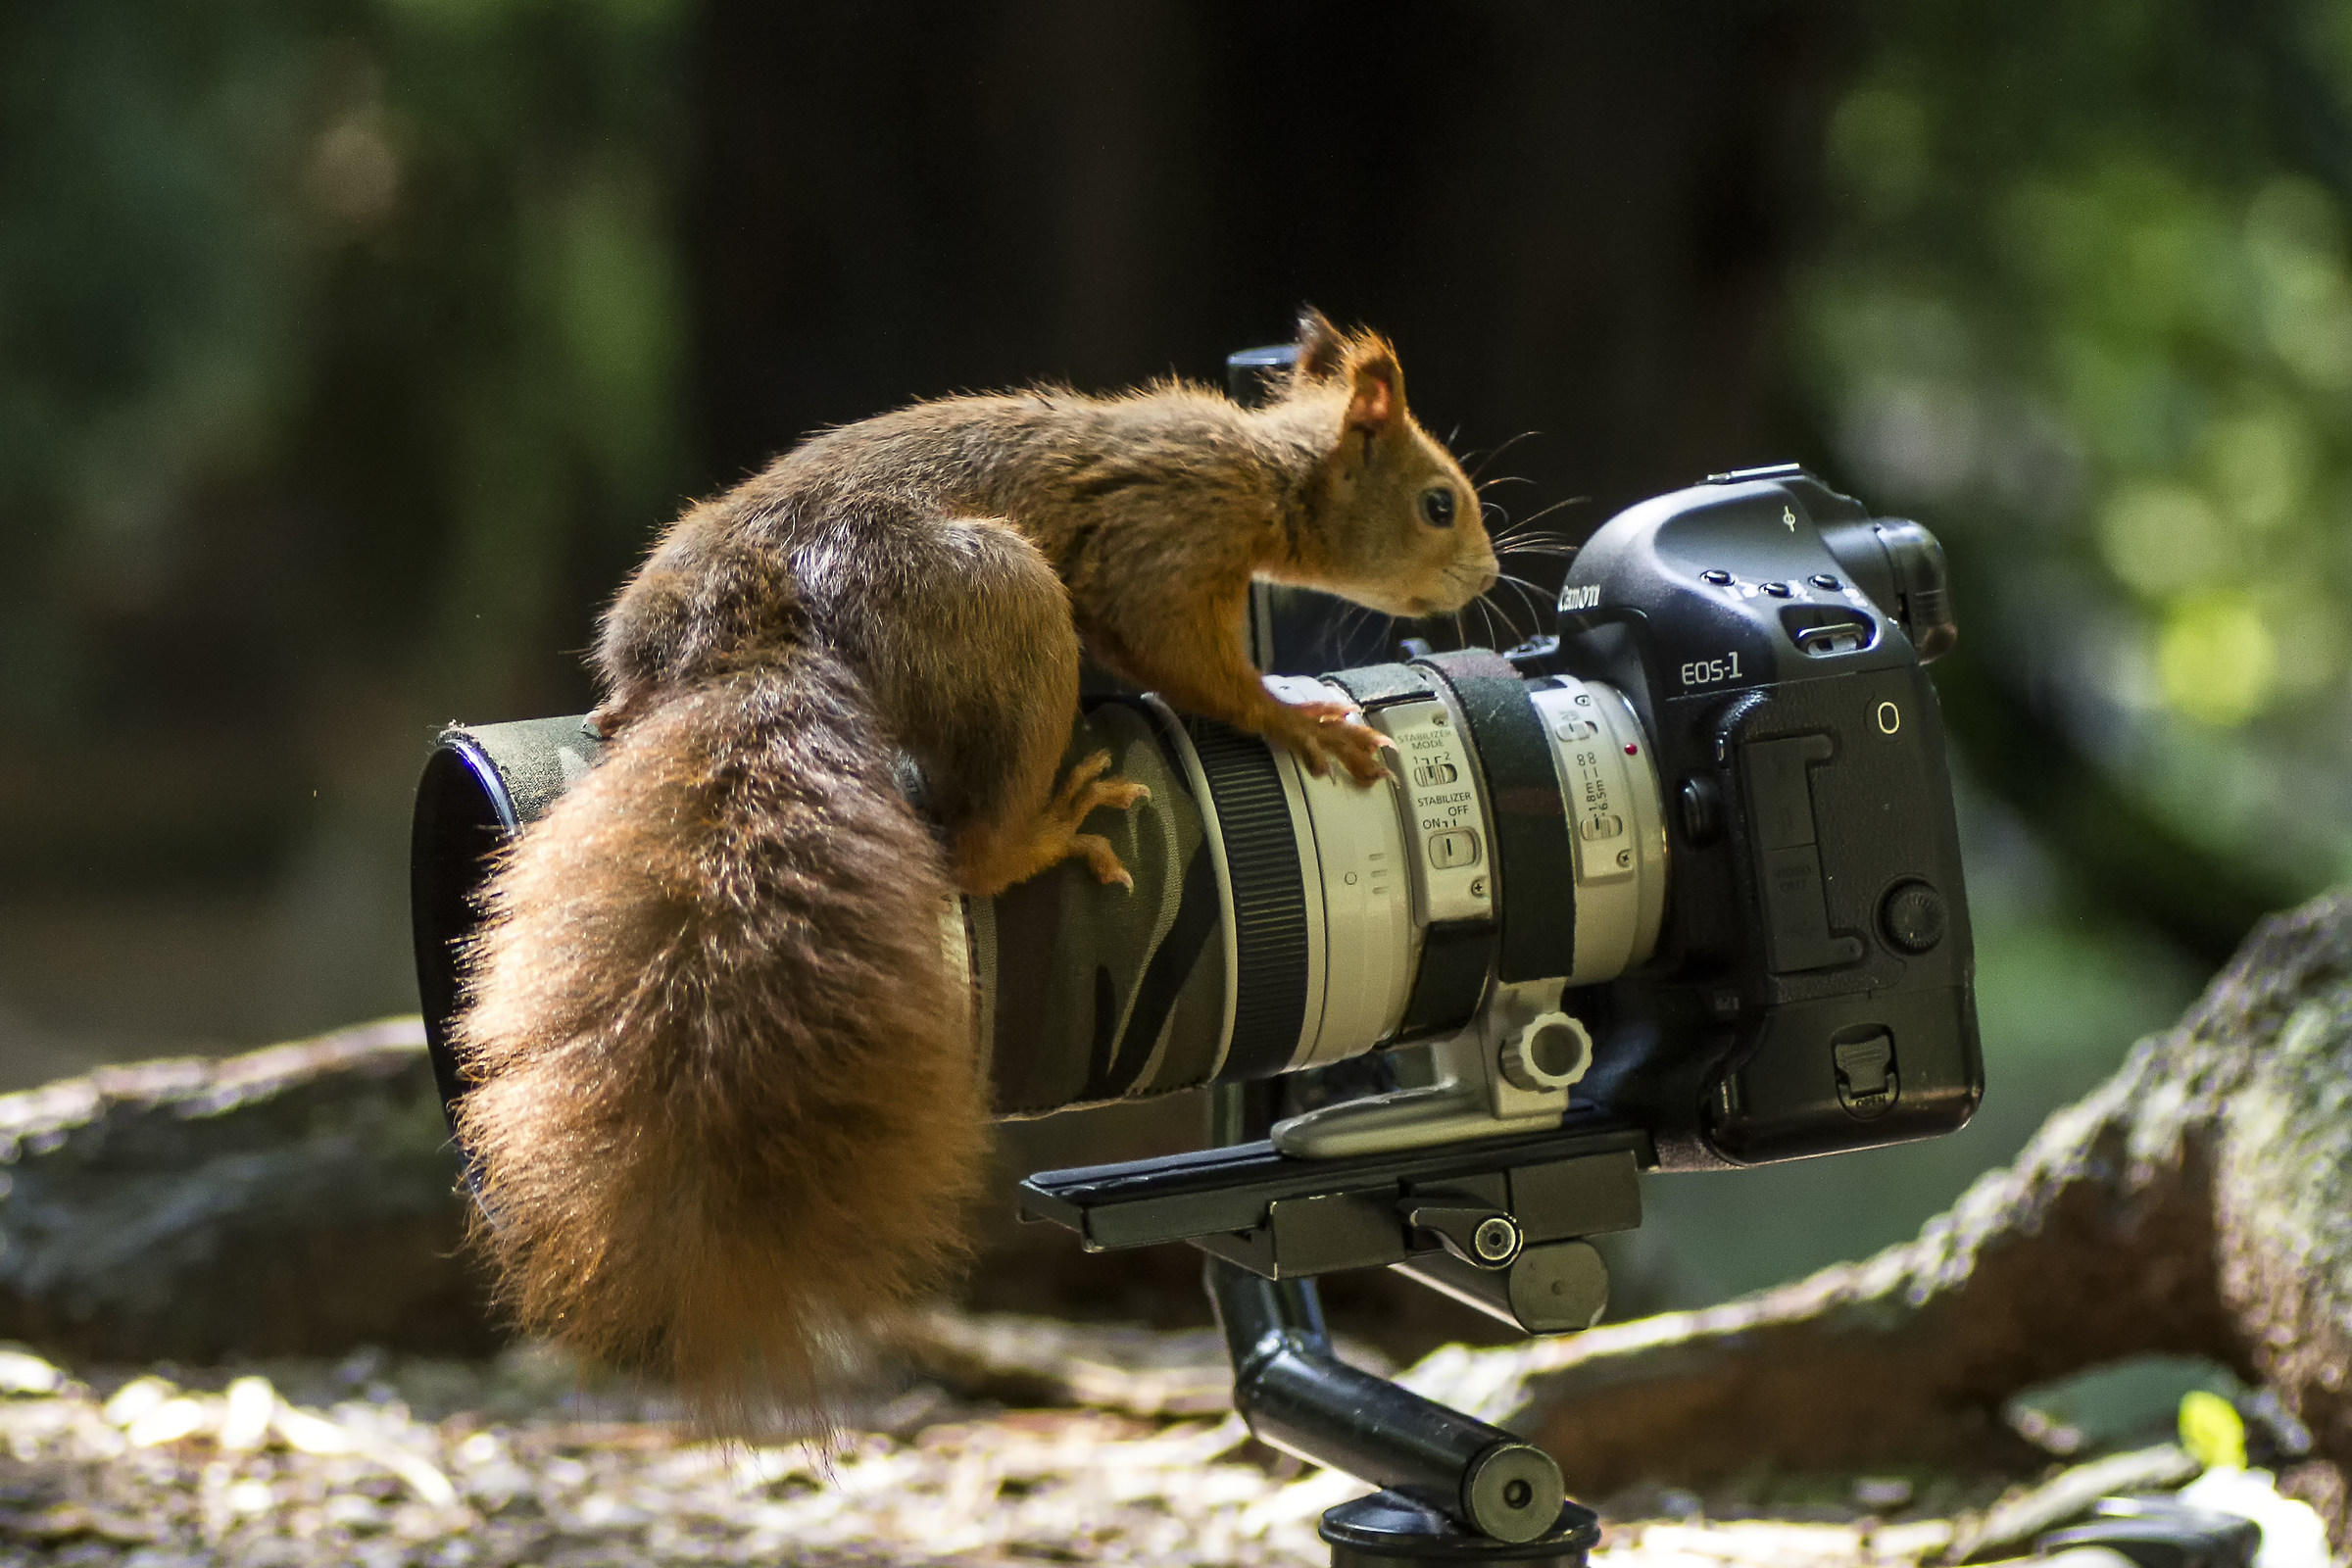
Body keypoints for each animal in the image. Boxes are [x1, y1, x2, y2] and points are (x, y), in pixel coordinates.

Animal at [451, 309, 1499, 1433]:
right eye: (1439, 502)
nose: (1487, 578)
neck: (1262, 470)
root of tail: (751, 638)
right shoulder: (1168, 536)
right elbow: (1178, 650)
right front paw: (1296, 719)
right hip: (1000, 602)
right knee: (978, 847)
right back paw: (1051, 826)